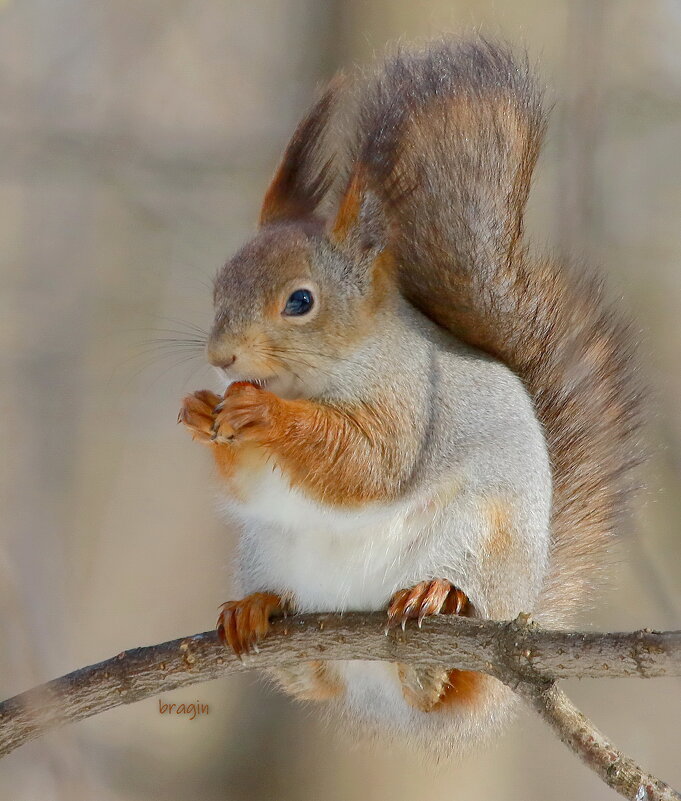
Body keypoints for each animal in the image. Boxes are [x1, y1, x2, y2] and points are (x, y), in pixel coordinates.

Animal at [177, 37, 644, 752]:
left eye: (300, 302)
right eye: (219, 284)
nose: (222, 358)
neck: (324, 374)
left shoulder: (409, 401)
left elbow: (368, 464)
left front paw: (266, 412)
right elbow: (254, 481)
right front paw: (202, 411)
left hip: (479, 538)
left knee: (448, 660)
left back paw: (434, 606)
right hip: (266, 556)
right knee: (315, 679)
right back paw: (261, 611)